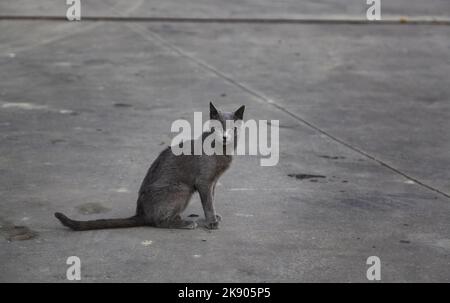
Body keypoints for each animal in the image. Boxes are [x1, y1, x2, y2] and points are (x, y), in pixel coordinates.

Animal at [56, 103, 248, 232]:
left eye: (232, 128)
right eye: (218, 128)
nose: (225, 136)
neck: (222, 150)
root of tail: (141, 213)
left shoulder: (213, 182)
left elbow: (211, 200)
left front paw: (214, 217)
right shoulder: (203, 182)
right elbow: (208, 203)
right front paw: (211, 222)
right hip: (182, 189)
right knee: (159, 222)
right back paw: (185, 223)